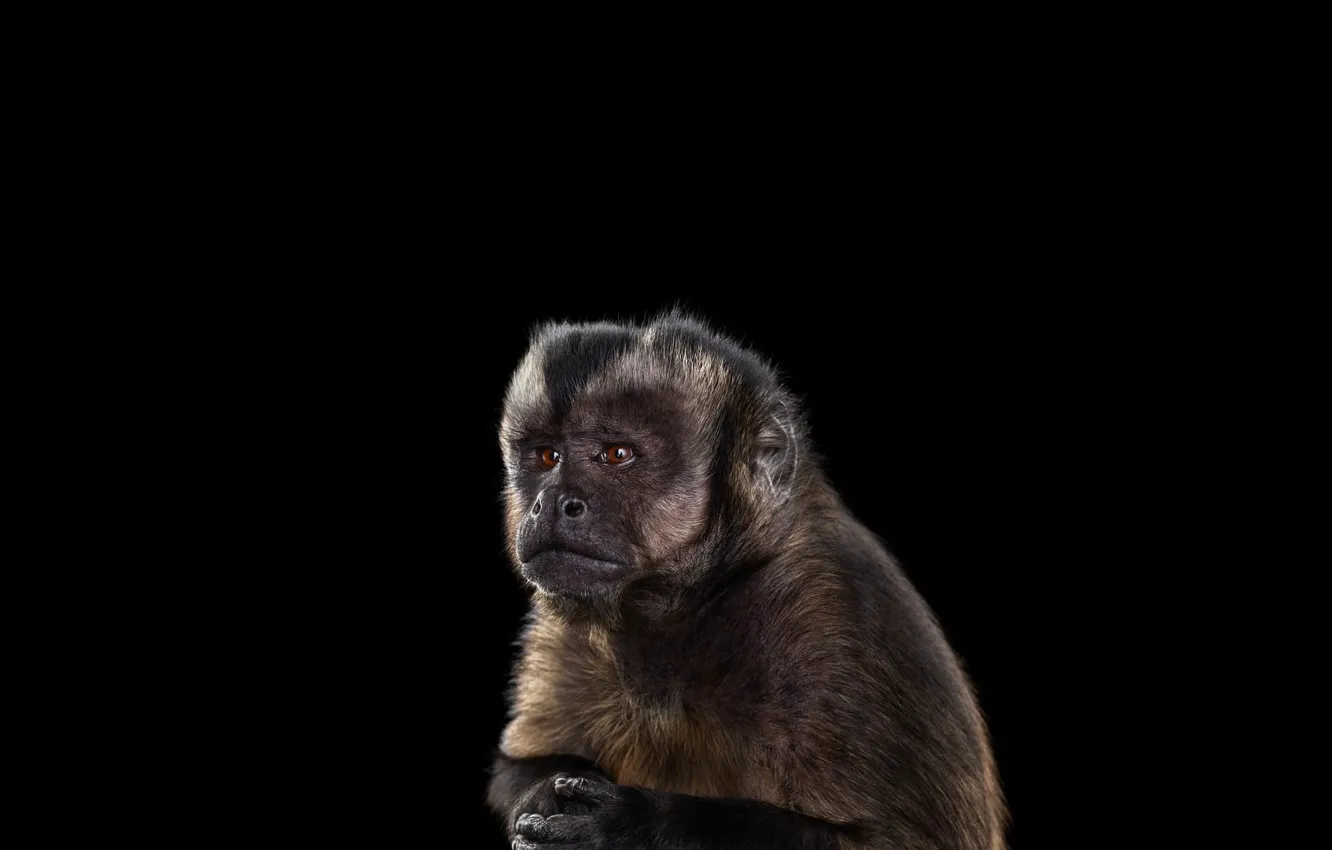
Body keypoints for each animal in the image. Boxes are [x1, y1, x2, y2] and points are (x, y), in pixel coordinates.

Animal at [486, 313, 1005, 849]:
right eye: (547, 457)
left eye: (616, 454)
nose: (550, 502)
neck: (691, 604)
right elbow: (516, 770)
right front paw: (542, 793)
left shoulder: (838, 616)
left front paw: (629, 824)